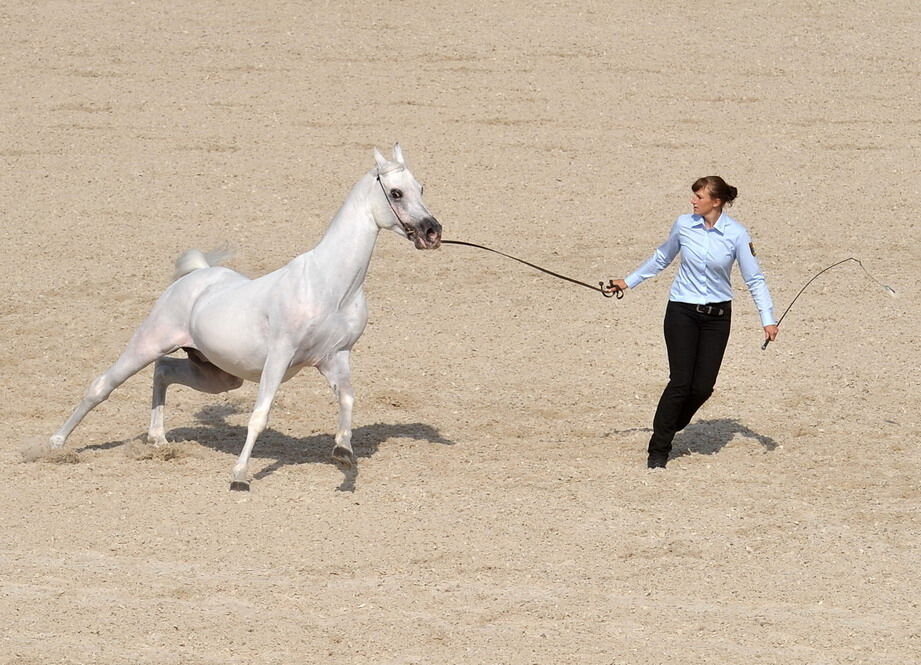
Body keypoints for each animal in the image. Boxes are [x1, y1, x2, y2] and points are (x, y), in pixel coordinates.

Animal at [47, 145, 442, 488]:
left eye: (421, 187)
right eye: (395, 193)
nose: (432, 232)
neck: (329, 286)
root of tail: (197, 275)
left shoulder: (335, 357)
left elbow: (346, 398)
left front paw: (343, 453)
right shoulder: (280, 357)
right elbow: (259, 415)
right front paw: (239, 477)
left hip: (217, 375)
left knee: (164, 371)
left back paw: (158, 439)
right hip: (148, 344)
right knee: (102, 386)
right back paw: (54, 446)